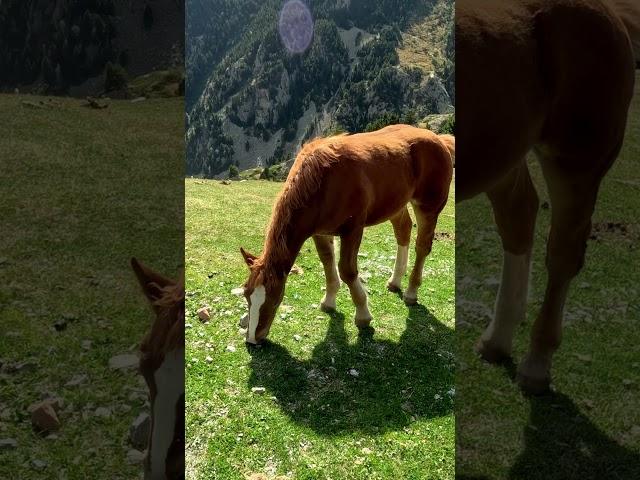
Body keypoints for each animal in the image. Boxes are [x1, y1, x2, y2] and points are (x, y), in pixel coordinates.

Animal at [238, 124, 452, 344]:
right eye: (246, 293)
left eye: (274, 299)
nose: (253, 339)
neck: (322, 182)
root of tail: (440, 140)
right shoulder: (320, 232)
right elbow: (327, 262)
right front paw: (329, 301)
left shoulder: (353, 230)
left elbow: (347, 271)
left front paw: (363, 314)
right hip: (396, 205)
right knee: (403, 231)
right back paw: (395, 281)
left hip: (428, 207)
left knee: (422, 246)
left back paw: (411, 291)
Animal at [458, 0, 636, 394]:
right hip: (501, 151)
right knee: (519, 213)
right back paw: (497, 340)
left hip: (575, 162)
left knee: (562, 255)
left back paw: (537, 363)